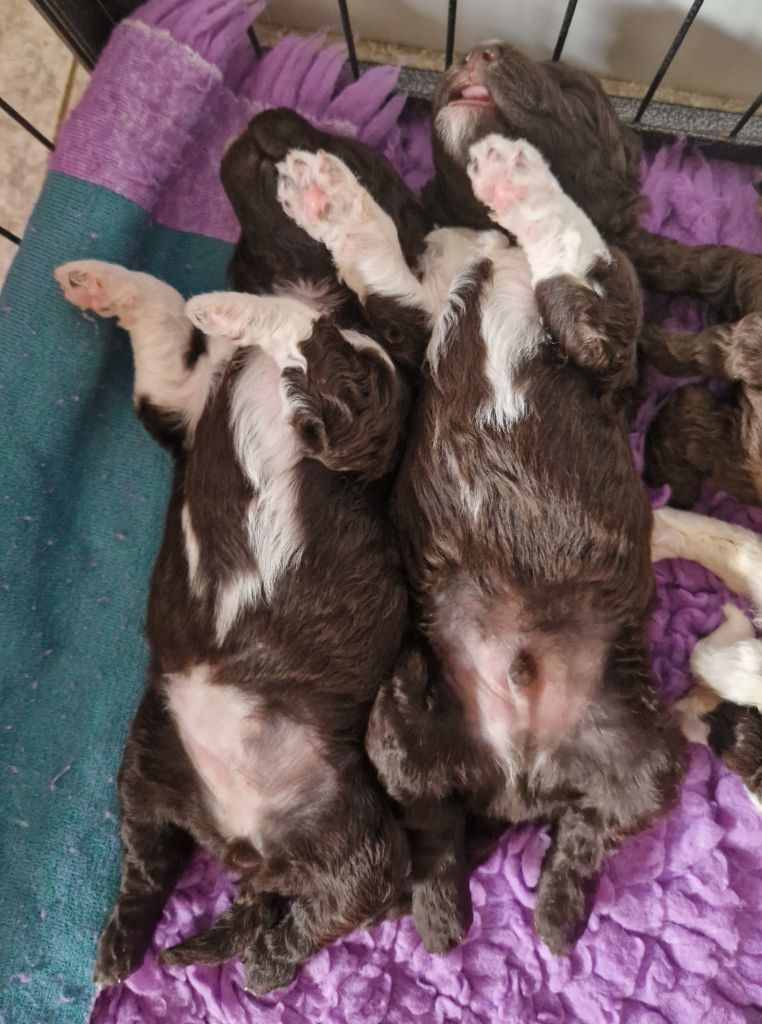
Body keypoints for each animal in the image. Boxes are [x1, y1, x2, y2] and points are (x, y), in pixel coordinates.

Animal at [51, 113, 437, 994]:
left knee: (347, 902)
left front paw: (327, 200)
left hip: (357, 832)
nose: (274, 119)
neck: (295, 281)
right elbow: (165, 315)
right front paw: (107, 283)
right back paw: (125, 947)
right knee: (150, 860)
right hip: (147, 756)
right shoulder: (179, 402)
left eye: (354, 148)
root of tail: (249, 845)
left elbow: (366, 291)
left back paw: (264, 962)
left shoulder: (374, 404)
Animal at [275, 132, 685, 958]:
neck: (495, 260)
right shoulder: (413, 326)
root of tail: (521, 780)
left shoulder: (603, 330)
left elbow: (574, 246)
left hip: (651, 756)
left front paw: (516, 180)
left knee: (591, 827)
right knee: (434, 825)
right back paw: (447, 912)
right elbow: (379, 266)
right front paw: (327, 198)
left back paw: (555, 912)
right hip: (396, 744)